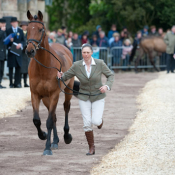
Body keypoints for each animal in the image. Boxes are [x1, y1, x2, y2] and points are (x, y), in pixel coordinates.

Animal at [25, 10, 73, 155]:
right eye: (27, 29)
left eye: (40, 29)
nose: (30, 51)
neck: (43, 67)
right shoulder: (35, 94)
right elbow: (37, 120)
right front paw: (43, 135)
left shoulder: (54, 94)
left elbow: (49, 121)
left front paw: (47, 148)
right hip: (46, 98)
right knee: (54, 115)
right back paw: (55, 141)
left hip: (67, 89)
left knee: (66, 108)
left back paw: (66, 136)